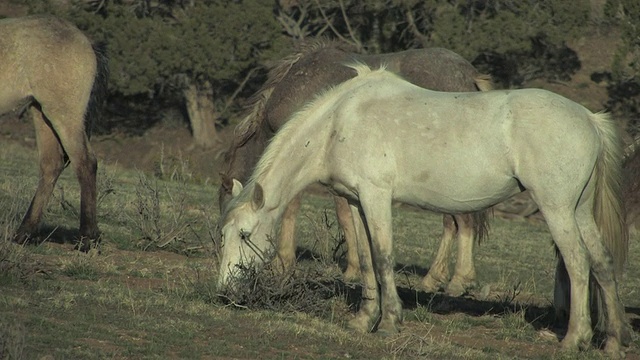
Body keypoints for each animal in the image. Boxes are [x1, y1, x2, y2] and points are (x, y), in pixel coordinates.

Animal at [0, 14, 109, 250]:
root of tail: (86, 41)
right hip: (42, 114)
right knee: (51, 165)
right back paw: (25, 234)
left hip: (63, 115)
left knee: (85, 163)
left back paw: (87, 239)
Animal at [218, 40, 492, 296]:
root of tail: (469, 74)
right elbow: (346, 216)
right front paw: (354, 268)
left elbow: (296, 210)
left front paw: (284, 263)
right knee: (452, 223)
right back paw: (434, 278)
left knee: (461, 221)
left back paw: (457, 280)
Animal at [220, 64, 632, 354]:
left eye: (244, 234)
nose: (224, 291)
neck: (340, 121)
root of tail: (590, 119)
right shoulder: (356, 201)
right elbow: (366, 260)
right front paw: (363, 320)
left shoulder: (375, 197)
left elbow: (383, 256)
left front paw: (389, 322)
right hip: (580, 211)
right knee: (601, 263)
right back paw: (613, 341)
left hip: (557, 209)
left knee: (577, 263)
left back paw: (573, 339)